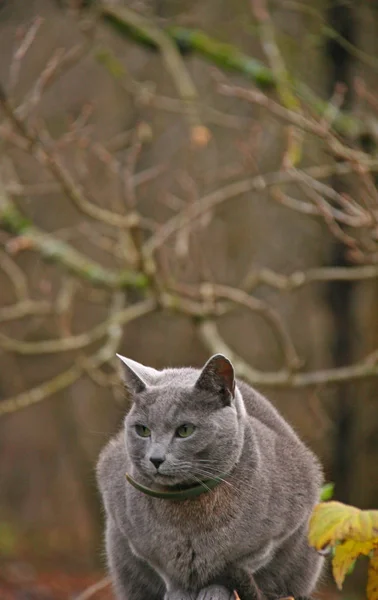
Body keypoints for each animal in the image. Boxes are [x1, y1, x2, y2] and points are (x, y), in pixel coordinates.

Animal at [96, 352, 324, 600]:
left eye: (185, 430)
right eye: (143, 430)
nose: (155, 458)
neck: (188, 508)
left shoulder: (280, 529)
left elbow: (240, 564)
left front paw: (215, 591)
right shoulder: (135, 538)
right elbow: (167, 573)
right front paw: (180, 593)